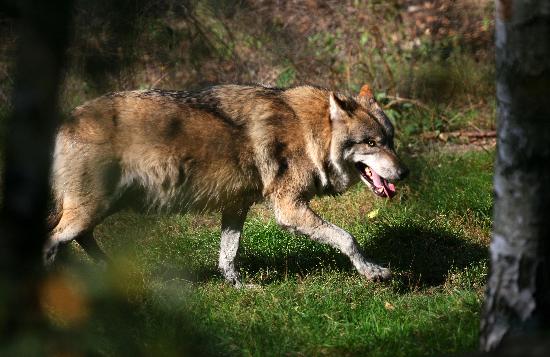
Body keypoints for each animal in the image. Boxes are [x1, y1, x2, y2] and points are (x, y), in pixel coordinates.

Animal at [46, 83, 410, 286]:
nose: (405, 172)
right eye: (371, 143)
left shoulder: (236, 206)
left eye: (391, 141)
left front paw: (239, 287)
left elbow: (227, 255)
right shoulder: (289, 209)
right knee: (53, 241)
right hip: (90, 209)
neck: (309, 132)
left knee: (78, 239)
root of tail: (64, 123)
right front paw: (372, 271)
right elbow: (348, 238)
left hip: (101, 209)